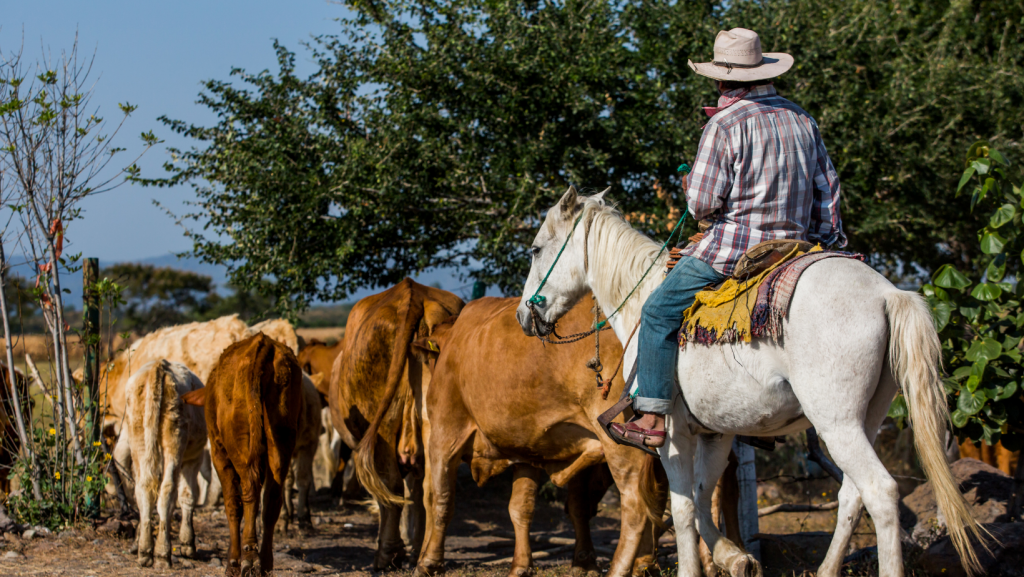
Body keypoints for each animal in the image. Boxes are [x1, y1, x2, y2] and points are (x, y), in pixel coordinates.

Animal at [115, 360, 205, 569]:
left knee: (143, 489)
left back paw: (144, 550)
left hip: (139, 436)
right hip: (175, 440)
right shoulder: (194, 458)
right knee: (167, 491)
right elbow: (188, 495)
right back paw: (163, 553)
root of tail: (159, 365)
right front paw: (188, 544)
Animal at [185, 334, 303, 577]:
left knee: (249, 490)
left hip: (239, 443)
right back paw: (265, 563)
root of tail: (262, 344)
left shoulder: (219, 453)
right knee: (271, 500)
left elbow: (232, 504)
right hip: (282, 438)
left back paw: (248, 557)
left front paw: (233, 562)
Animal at [329, 278, 462, 569]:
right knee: (433, 490)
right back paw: (425, 557)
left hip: (382, 426)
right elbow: (416, 495)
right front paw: (415, 543)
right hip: (436, 422)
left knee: (389, 488)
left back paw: (387, 555)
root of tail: (411, 292)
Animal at [380, 297, 667, 577]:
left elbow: (439, 498)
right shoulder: (528, 449)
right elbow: (521, 508)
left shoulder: (444, 432)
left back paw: (620, 569)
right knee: (657, 499)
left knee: (637, 505)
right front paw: (520, 566)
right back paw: (644, 565)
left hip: (621, 444)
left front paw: (428, 562)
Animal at [516, 188, 987, 577]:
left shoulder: (671, 434)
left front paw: (699, 567)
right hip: (867, 420)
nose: (524, 315)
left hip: (837, 423)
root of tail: (889, 294)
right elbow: (703, 498)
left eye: (536, 249)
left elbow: (683, 507)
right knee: (851, 496)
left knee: (880, 492)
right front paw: (734, 557)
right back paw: (825, 571)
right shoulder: (716, 432)